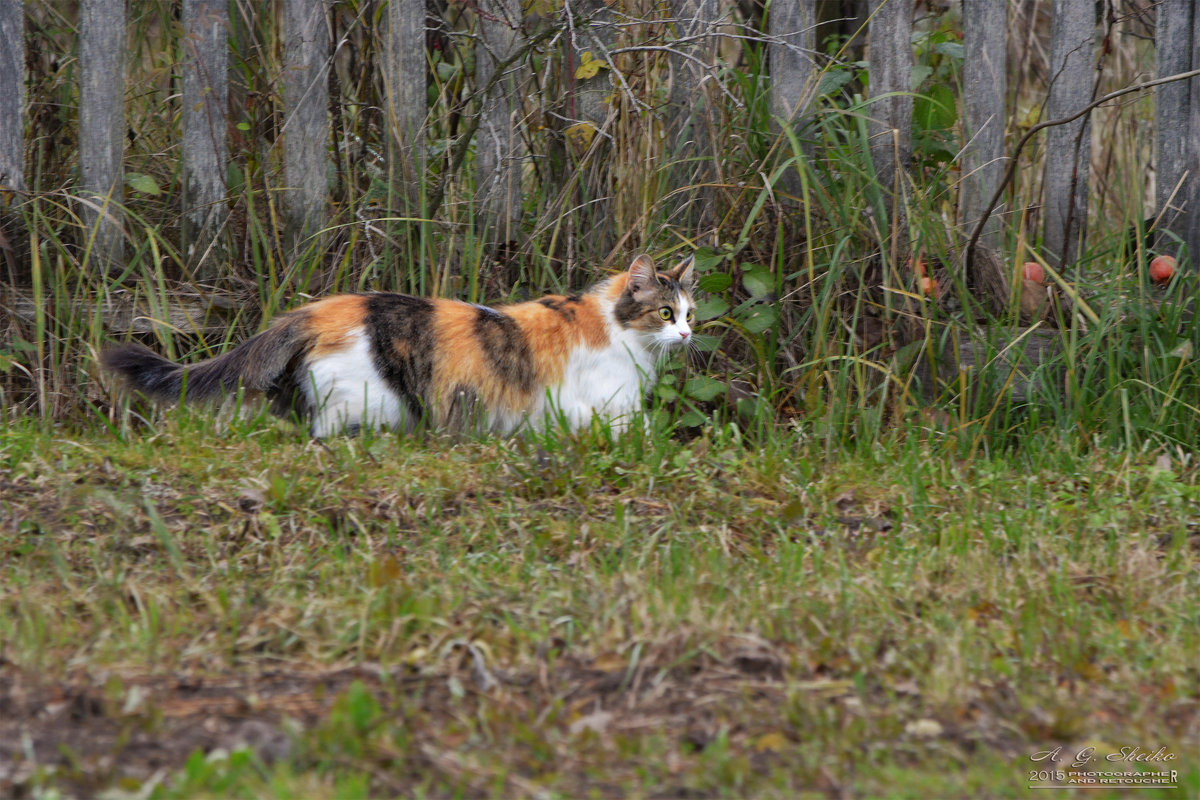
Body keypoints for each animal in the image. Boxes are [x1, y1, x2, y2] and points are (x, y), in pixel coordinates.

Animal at [105, 253, 700, 438]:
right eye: (665, 313)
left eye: (691, 313)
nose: (688, 334)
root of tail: (319, 307)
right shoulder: (605, 406)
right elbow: (642, 432)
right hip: (364, 400)